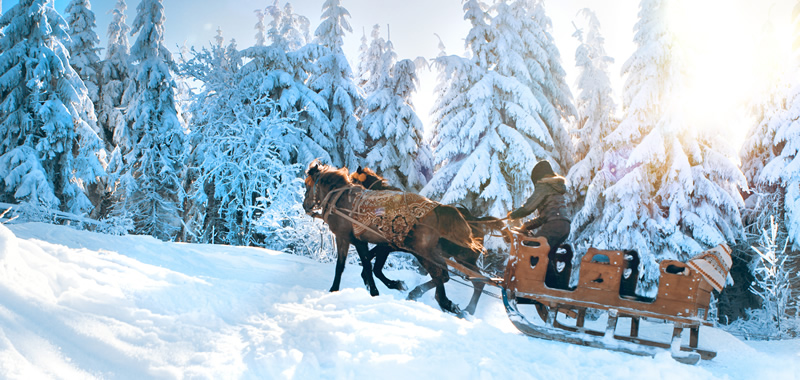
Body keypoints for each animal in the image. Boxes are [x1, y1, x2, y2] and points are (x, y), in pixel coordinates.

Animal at [304, 160, 482, 314]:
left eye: (307, 184)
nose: (305, 205)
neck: (340, 201)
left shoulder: (363, 241)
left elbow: (369, 267)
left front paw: (376, 290)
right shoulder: (353, 240)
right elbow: (347, 266)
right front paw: (336, 290)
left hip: (427, 252)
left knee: (444, 275)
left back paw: (443, 302)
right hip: (439, 254)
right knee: (456, 277)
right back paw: (451, 305)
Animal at [352, 165, 504, 314]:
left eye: (353, 181)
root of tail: (477, 221)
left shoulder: (387, 245)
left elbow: (376, 267)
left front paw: (391, 283)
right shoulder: (389, 246)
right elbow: (370, 258)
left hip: (458, 258)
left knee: (455, 278)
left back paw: (463, 308)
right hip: (459, 259)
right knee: (464, 279)